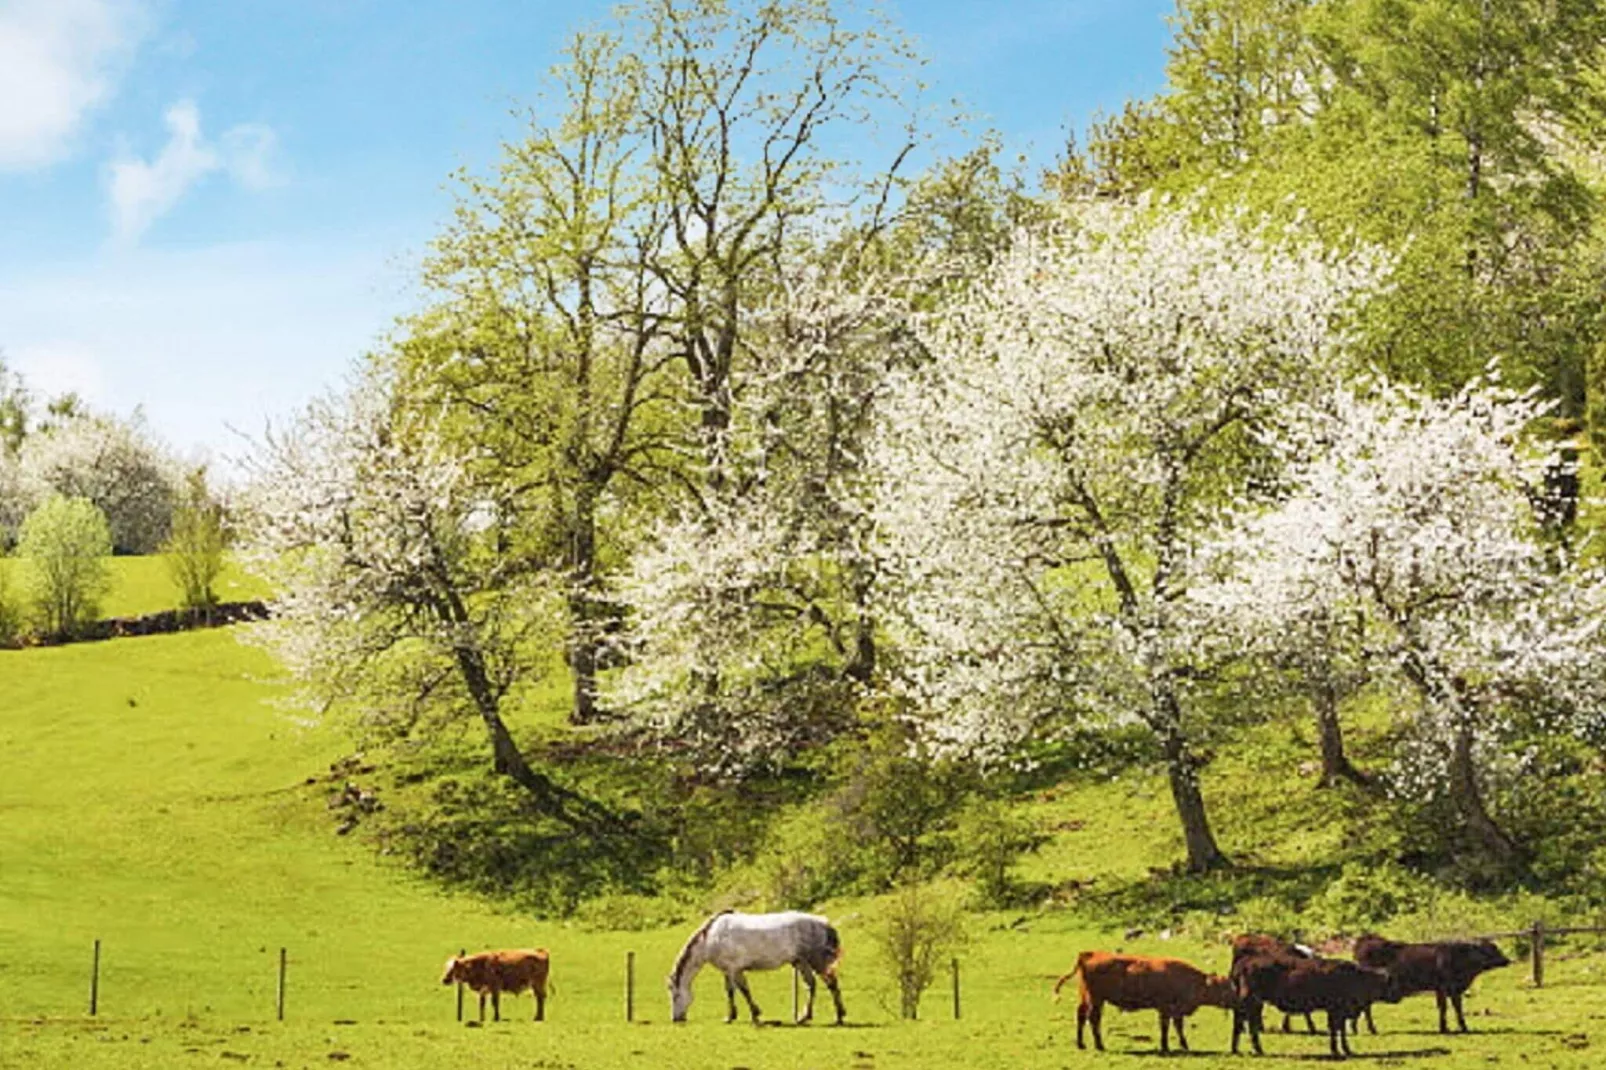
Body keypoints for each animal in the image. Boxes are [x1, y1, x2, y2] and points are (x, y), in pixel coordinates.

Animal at [664, 906, 847, 1021]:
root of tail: (823, 923)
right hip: (801, 962)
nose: (675, 1018)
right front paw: (742, 1014)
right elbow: (737, 991)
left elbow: (738, 991)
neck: (710, 938)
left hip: (816, 961)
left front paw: (741, 1015)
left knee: (831, 984)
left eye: (675, 995)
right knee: (811, 985)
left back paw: (839, 1016)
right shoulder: (731, 970)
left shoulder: (732, 969)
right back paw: (805, 1017)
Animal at [1059, 951, 1233, 1047]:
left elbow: (1175, 1027)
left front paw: (1180, 1045)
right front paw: (1168, 1046)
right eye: (1224, 987)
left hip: (1086, 997)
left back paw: (1081, 1044)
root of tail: (1090, 954)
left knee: (1082, 1015)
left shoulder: (1174, 1011)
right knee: (1093, 1018)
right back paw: (1099, 1045)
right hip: (1096, 1000)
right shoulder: (1167, 1009)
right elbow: (1167, 1027)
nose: (1235, 1000)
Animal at [1226, 944, 1394, 1053]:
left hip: (1254, 1003)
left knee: (1246, 1024)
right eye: (1387, 984)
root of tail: (1246, 961)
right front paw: (1339, 1050)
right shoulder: (1336, 1010)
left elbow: (1338, 1030)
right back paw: (1250, 1049)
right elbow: (1336, 1029)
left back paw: (1241, 1049)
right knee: (1244, 1023)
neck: (1355, 977)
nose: (1395, 997)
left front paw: (1342, 1049)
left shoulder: (1338, 1011)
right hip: (1250, 1002)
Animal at [1349, 931, 1509, 1028]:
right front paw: (1449, 1028)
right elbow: (1447, 1007)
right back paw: (1371, 1029)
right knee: (1366, 1008)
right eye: (1492, 949)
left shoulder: (1447, 990)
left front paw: (1453, 1027)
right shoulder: (1446, 988)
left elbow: (1453, 1007)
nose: (1507, 960)